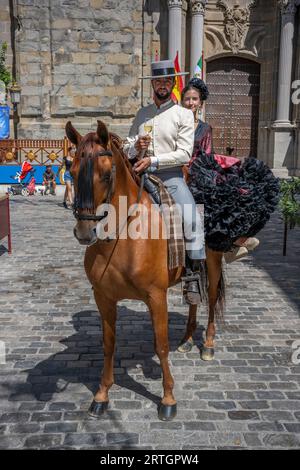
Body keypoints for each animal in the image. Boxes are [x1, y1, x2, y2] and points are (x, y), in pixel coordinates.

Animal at [66, 119, 225, 420]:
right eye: (71, 171)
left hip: (213, 262)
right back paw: (187, 338)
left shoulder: (156, 296)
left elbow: (160, 346)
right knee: (193, 298)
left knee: (210, 300)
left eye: (106, 175)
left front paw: (168, 399)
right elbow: (108, 345)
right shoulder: (103, 297)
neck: (123, 236)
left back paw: (208, 345)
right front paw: (102, 395)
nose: (84, 231)